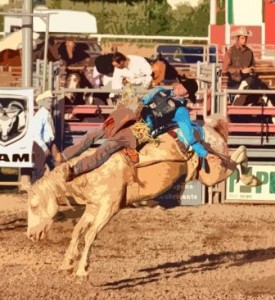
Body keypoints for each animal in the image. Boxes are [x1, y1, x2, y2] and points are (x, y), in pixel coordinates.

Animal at [27, 113, 262, 278]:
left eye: (35, 205)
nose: (30, 235)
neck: (88, 172)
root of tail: (210, 128)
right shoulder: (93, 207)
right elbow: (78, 231)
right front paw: (66, 264)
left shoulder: (109, 207)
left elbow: (90, 235)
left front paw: (82, 270)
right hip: (208, 173)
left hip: (216, 170)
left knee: (239, 153)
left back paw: (252, 179)